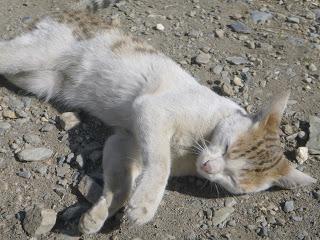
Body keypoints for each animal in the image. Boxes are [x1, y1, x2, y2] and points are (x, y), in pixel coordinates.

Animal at [0, 0, 316, 234]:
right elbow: (161, 164)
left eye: (233, 178)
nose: (209, 167)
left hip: (38, 79)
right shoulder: (151, 110)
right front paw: (145, 204)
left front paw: (98, 215)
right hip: (33, 54)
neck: (196, 146)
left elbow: (120, 184)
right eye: (227, 148)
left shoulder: (125, 142)